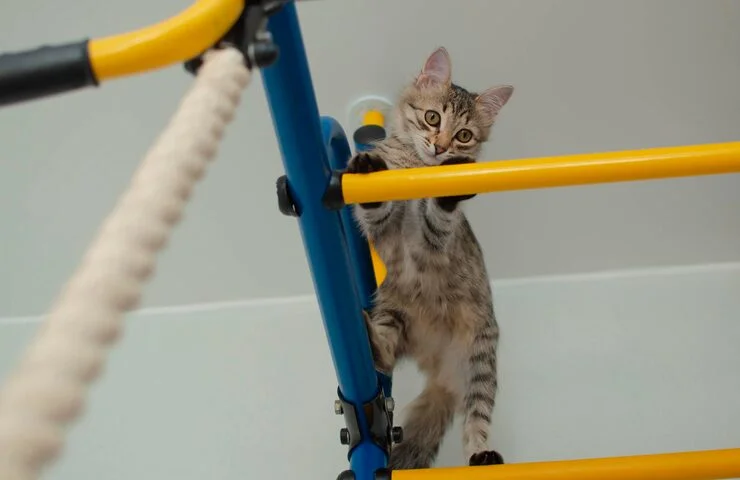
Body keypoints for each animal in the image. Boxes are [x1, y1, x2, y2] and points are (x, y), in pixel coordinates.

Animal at [346, 46, 513, 470]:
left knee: (476, 416)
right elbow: (375, 206)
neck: (417, 168)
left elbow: (438, 215)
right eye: (432, 117)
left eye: (464, 135)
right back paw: (371, 339)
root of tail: (442, 374)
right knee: (385, 359)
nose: (440, 147)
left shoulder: (435, 239)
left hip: (481, 356)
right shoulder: (381, 228)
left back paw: (482, 453)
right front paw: (368, 166)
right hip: (392, 310)